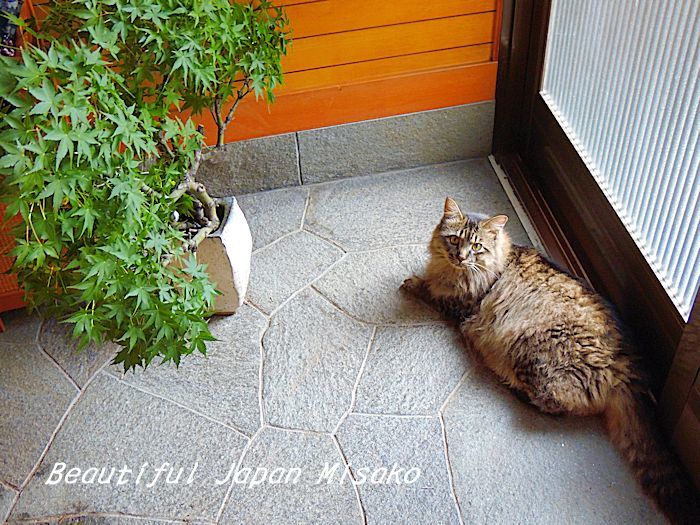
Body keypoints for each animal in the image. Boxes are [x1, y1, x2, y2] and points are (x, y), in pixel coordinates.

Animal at [402, 198, 696, 524]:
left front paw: (412, 283)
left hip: (531, 350)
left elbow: (431, 291)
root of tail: (625, 366)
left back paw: (508, 383)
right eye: (454, 240)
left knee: (554, 406)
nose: (461, 256)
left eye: (477, 247)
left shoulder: (460, 306)